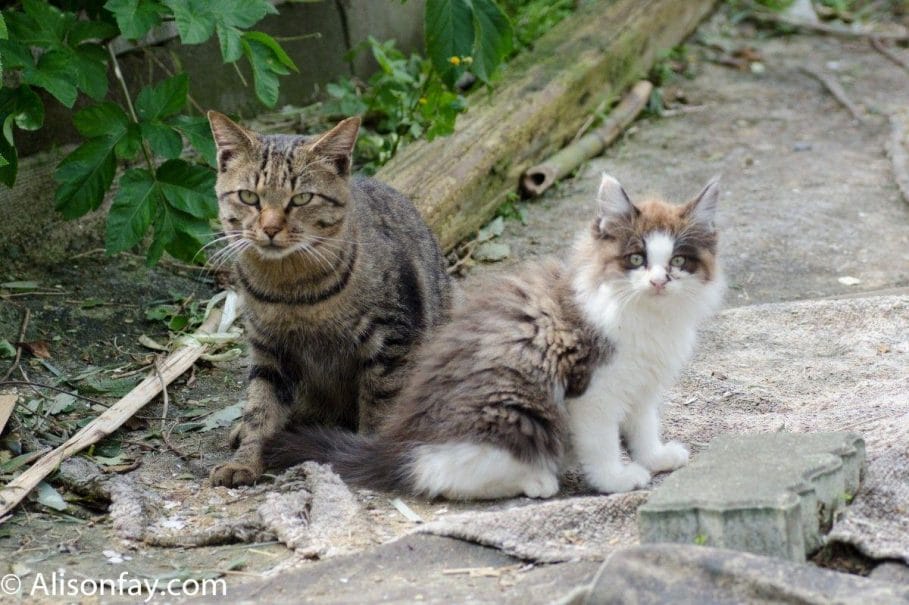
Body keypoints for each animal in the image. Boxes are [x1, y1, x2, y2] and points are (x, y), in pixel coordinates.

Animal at [204, 111, 448, 486]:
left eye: (301, 199)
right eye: (248, 197)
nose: (270, 228)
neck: (291, 290)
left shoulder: (392, 338)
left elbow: (381, 403)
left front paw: (363, 454)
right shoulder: (268, 347)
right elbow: (261, 406)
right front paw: (246, 459)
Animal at [262, 172, 724, 498]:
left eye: (678, 261)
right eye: (635, 259)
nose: (659, 281)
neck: (647, 316)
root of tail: (398, 442)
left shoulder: (642, 385)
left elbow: (643, 425)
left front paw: (655, 457)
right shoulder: (592, 389)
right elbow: (602, 442)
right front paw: (615, 478)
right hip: (516, 413)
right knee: (437, 473)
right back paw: (536, 481)